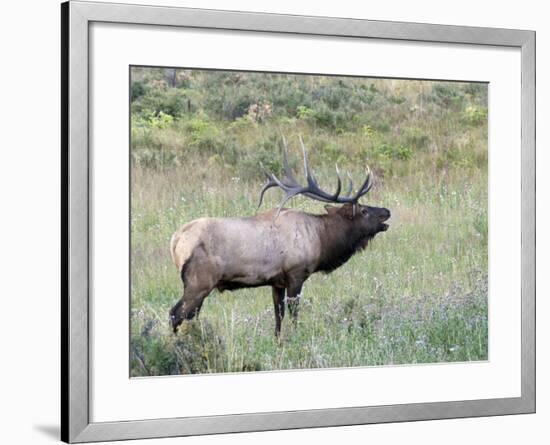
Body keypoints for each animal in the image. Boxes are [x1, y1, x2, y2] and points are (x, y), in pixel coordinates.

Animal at [170, 137, 390, 334]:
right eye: (363, 211)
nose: (387, 211)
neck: (321, 239)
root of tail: (175, 241)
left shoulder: (276, 282)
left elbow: (278, 317)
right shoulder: (296, 274)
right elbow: (293, 316)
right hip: (199, 282)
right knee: (175, 313)